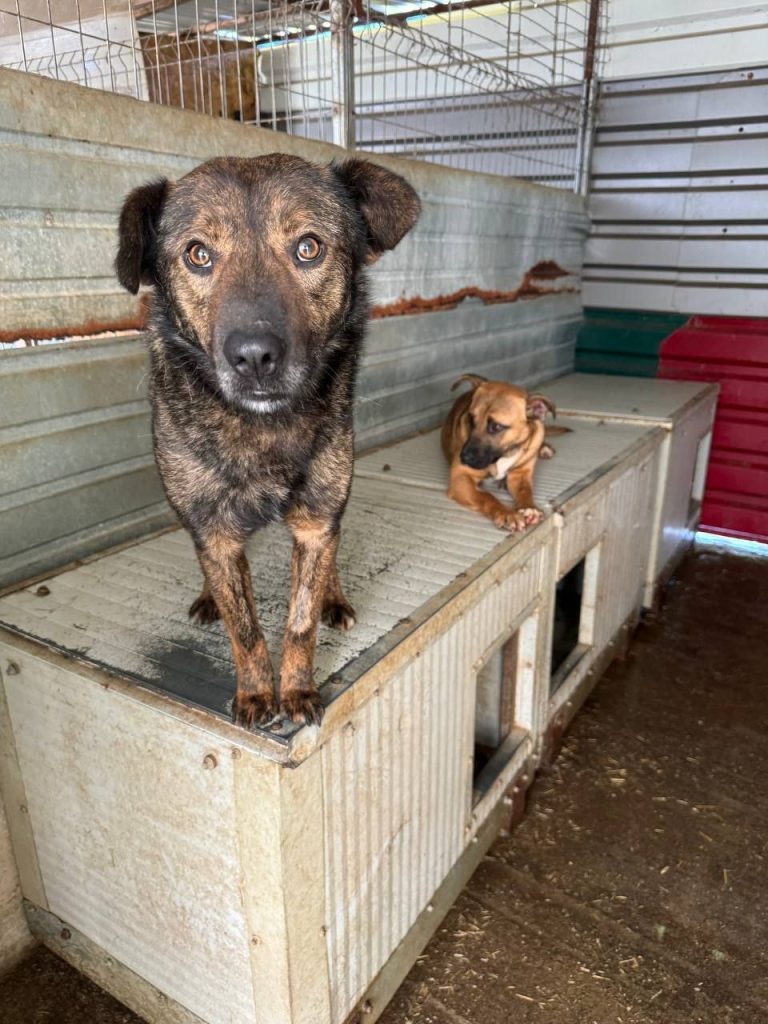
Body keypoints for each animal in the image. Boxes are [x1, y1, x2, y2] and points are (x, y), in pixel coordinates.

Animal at [115, 153, 421, 729]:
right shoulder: (213, 530)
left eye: (309, 247)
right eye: (198, 255)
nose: (254, 356)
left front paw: (296, 689)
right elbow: (245, 627)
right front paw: (257, 693)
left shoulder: (317, 518)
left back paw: (333, 596)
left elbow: (300, 621)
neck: (264, 430)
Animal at [444, 376, 561, 536]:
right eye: (471, 419)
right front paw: (507, 514)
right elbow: (486, 496)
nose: (463, 457)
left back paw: (544, 448)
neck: (505, 453)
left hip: (539, 430)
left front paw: (529, 508)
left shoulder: (520, 475)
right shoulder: (460, 477)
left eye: (496, 427)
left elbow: (525, 491)